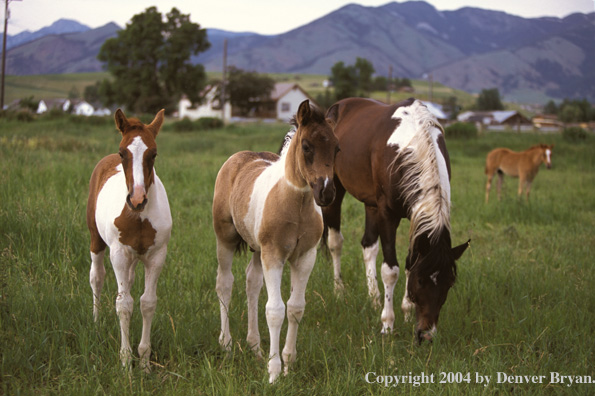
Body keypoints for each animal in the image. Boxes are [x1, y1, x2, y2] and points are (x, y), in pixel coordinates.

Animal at [87, 108, 173, 372]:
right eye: (122, 152)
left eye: (153, 153)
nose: (137, 199)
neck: (138, 217)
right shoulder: (119, 255)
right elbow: (123, 304)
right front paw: (125, 361)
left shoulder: (156, 256)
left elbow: (147, 303)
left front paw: (144, 360)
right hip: (96, 240)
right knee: (97, 277)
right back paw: (96, 322)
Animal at [213, 100, 340, 384]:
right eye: (306, 146)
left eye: (337, 148)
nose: (326, 193)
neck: (297, 203)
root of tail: (237, 157)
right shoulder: (274, 255)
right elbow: (275, 310)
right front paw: (274, 372)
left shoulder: (305, 257)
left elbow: (295, 308)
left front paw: (288, 363)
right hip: (225, 238)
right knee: (225, 283)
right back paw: (226, 344)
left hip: (257, 248)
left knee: (251, 283)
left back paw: (255, 347)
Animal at [324, 97, 468, 342]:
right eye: (421, 281)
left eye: (449, 283)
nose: (426, 335)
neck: (412, 145)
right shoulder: (387, 214)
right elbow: (391, 271)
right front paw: (387, 325)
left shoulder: (413, 216)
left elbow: (410, 263)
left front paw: (407, 312)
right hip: (334, 191)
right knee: (335, 243)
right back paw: (339, 291)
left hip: (371, 204)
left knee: (368, 245)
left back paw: (373, 299)